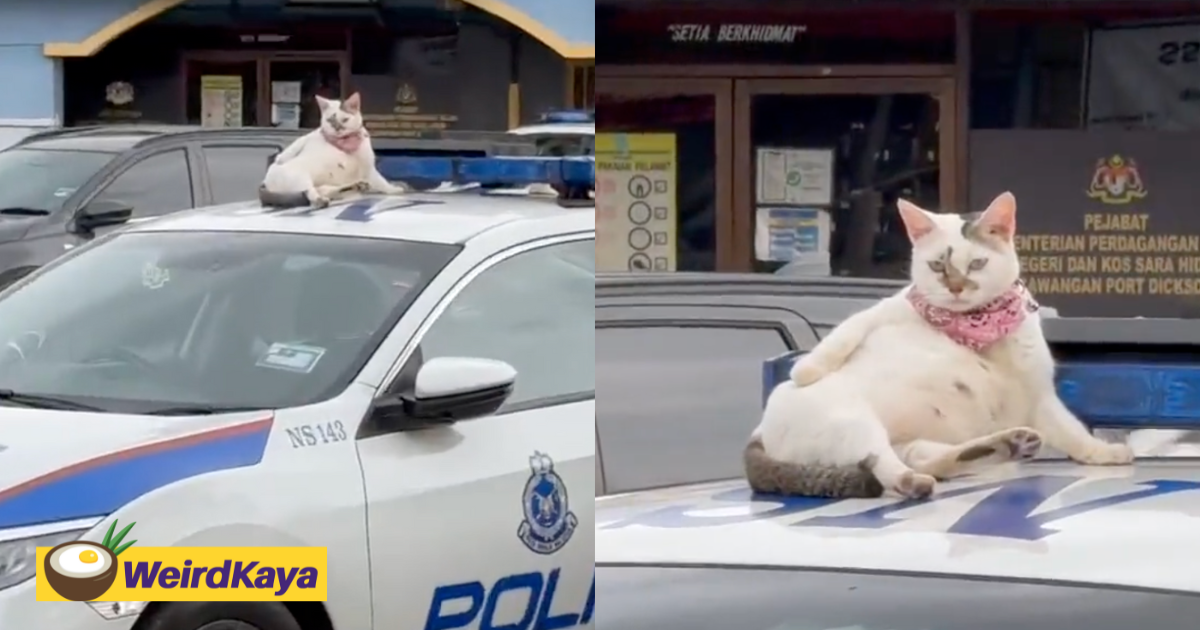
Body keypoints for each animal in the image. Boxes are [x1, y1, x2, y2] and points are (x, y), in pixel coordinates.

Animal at [258, 92, 403, 207]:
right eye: (329, 120)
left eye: (345, 120)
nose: (337, 128)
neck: (345, 143)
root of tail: (265, 183)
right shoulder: (312, 135)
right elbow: (296, 144)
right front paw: (280, 158)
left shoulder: (368, 168)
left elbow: (382, 182)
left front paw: (393, 189)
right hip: (300, 177)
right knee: (310, 192)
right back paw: (321, 200)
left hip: (322, 184)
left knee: (327, 190)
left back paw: (355, 186)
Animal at [744, 192, 1128, 496]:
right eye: (937, 266)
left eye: (977, 263)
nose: (956, 287)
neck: (979, 330)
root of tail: (758, 431)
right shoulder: (887, 308)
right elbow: (846, 332)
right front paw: (805, 369)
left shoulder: (1039, 398)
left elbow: (1072, 431)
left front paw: (1101, 452)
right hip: (852, 422)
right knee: (884, 464)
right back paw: (915, 481)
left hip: (907, 442)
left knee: (931, 460)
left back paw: (1003, 446)